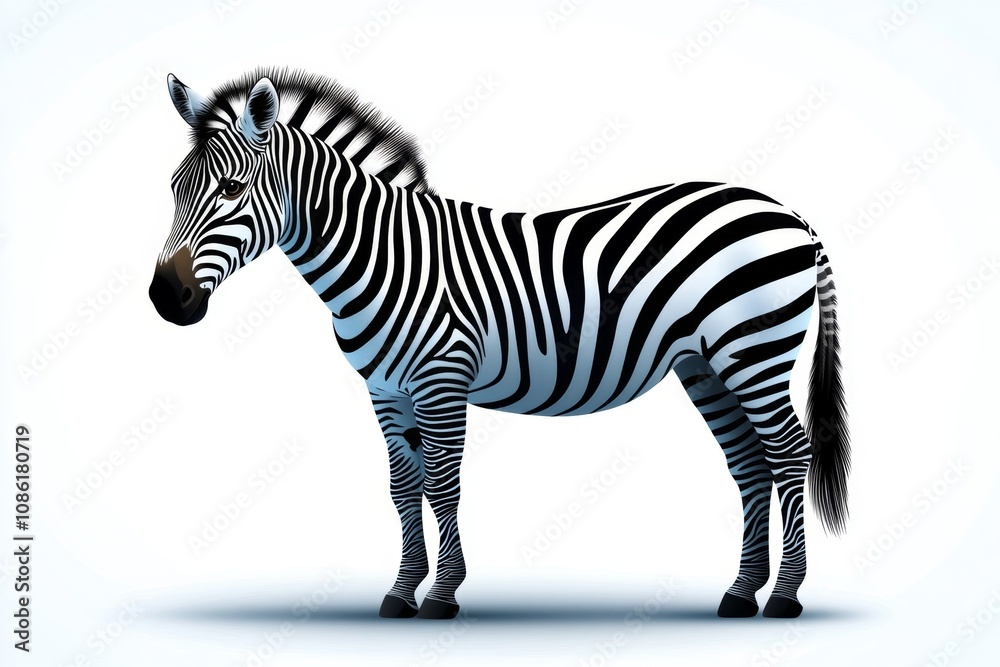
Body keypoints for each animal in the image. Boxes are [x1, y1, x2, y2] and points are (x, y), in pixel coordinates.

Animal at [150, 68, 850, 620]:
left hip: (755, 351)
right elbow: (404, 487)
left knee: (789, 454)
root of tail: (788, 212)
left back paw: (784, 595)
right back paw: (741, 592)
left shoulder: (442, 378)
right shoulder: (385, 390)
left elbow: (442, 483)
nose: (164, 299)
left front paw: (442, 595)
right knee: (750, 465)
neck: (382, 256)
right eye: (175, 188)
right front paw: (401, 592)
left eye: (233, 191)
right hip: (706, 364)